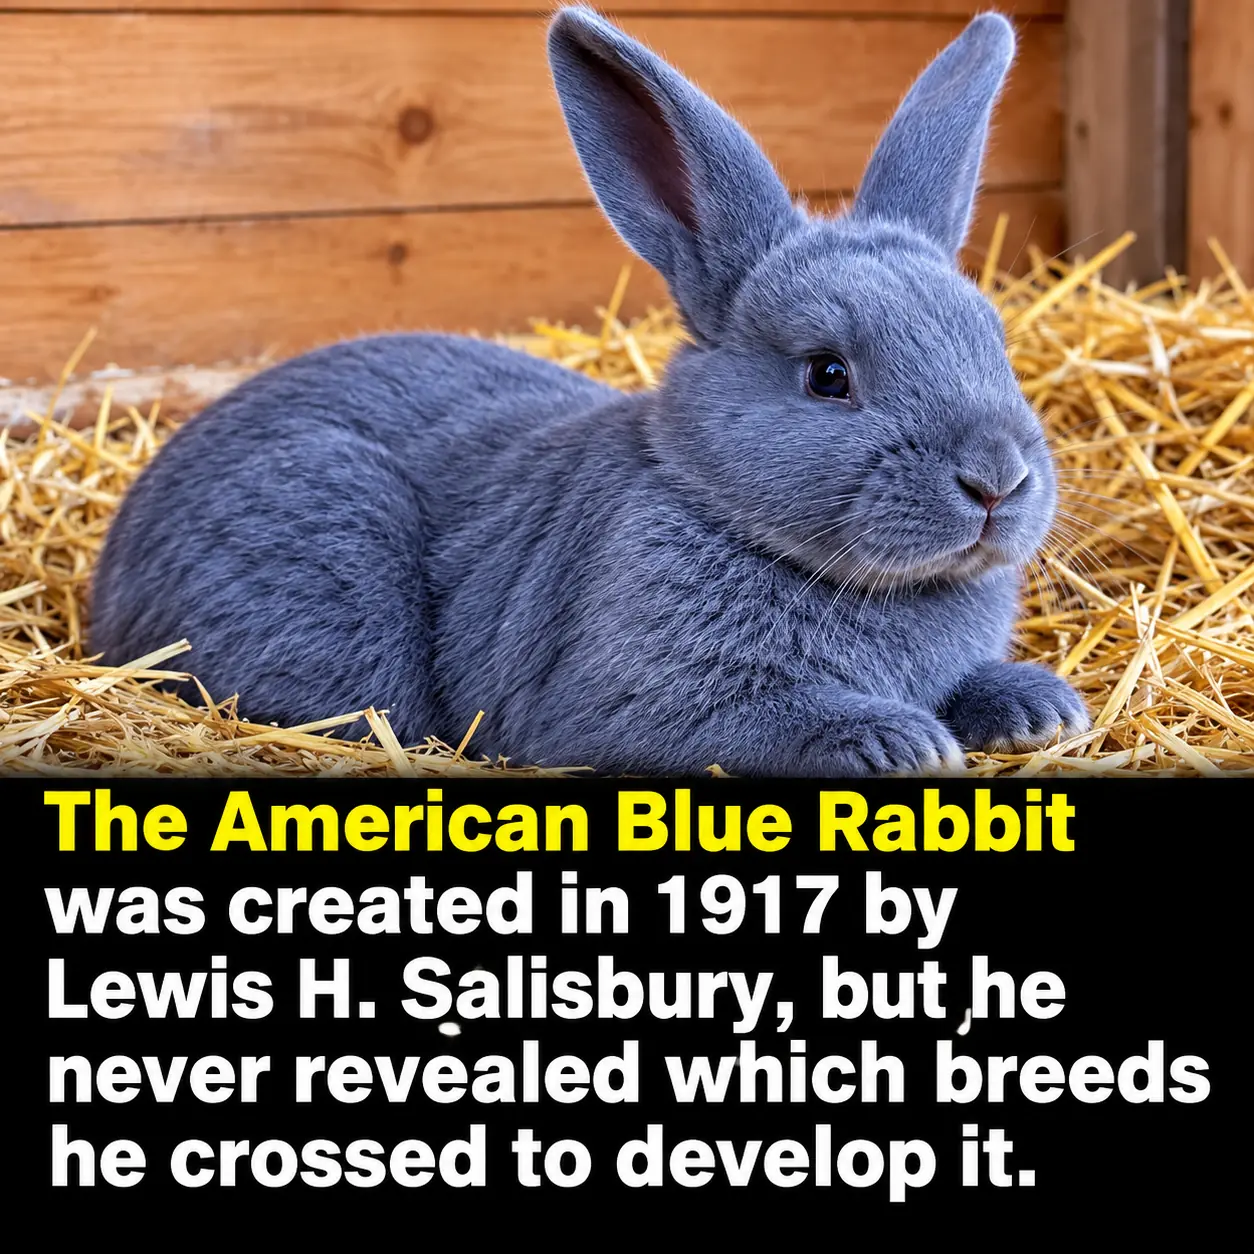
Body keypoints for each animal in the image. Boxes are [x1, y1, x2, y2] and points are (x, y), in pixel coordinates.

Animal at [89, 4, 1089, 777]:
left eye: (994, 341)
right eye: (828, 375)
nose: (998, 480)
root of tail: (114, 569)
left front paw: (1043, 711)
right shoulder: (632, 703)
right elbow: (761, 721)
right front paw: (898, 743)